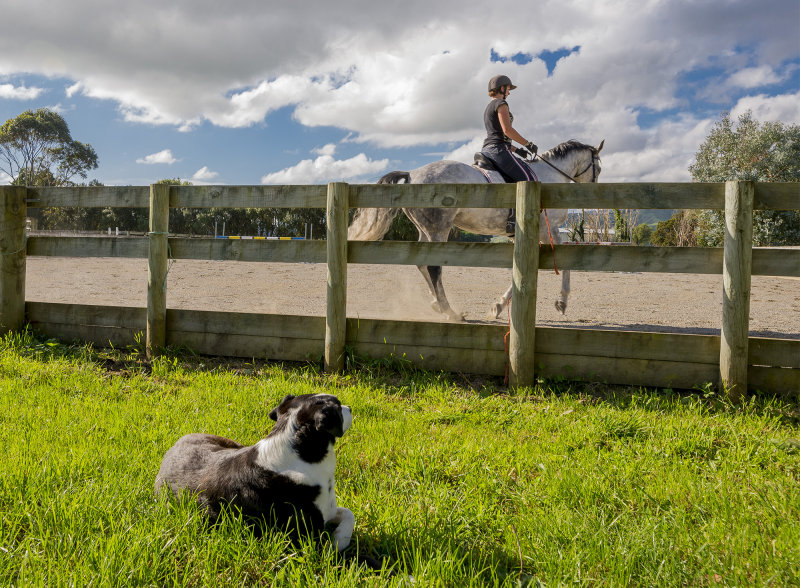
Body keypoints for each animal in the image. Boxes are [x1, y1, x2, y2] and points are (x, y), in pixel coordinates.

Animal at [155, 396, 354, 552]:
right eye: (337, 405)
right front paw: (338, 543)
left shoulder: (329, 510)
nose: (350, 408)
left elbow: (348, 513)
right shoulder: (306, 536)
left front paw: (339, 538)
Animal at [346, 140, 604, 322]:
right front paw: (562, 301)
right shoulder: (546, 230)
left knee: (422, 263)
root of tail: (412, 175)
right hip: (439, 228)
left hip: (425, 229)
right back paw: (449, 311)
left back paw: (436, 304)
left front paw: (498, 307)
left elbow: (517, 268)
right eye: (599, 168)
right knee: (433, 267)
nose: (593, 193)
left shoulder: (520, 235)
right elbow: (563, 260)